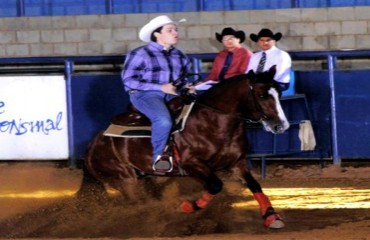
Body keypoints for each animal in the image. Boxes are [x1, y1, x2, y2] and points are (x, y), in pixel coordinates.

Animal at [82, 66, 290, 229]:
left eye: (279, 93)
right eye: (261, 95)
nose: (281, 125)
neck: (213, 121)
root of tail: (93, 144)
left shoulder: (237, 163)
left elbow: (255, 185)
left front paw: (272, 217)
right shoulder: (193, 164)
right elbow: (216, 185)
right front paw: (187, 207)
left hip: (145, 177)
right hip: (124, 179)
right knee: (134, 202)